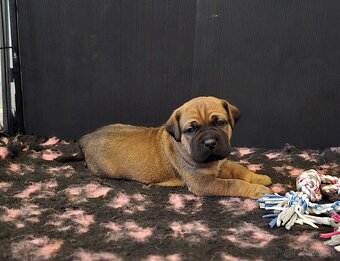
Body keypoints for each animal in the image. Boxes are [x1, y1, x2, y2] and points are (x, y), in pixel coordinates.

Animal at [78, 96, 272, 198]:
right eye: (191, 129)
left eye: (220, 122)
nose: (210, 143)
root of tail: (89, 137)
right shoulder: (204, 183)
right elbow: (233, 184)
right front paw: (259, 190)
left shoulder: (222, 163)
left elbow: (240, 169)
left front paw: (259, 178)